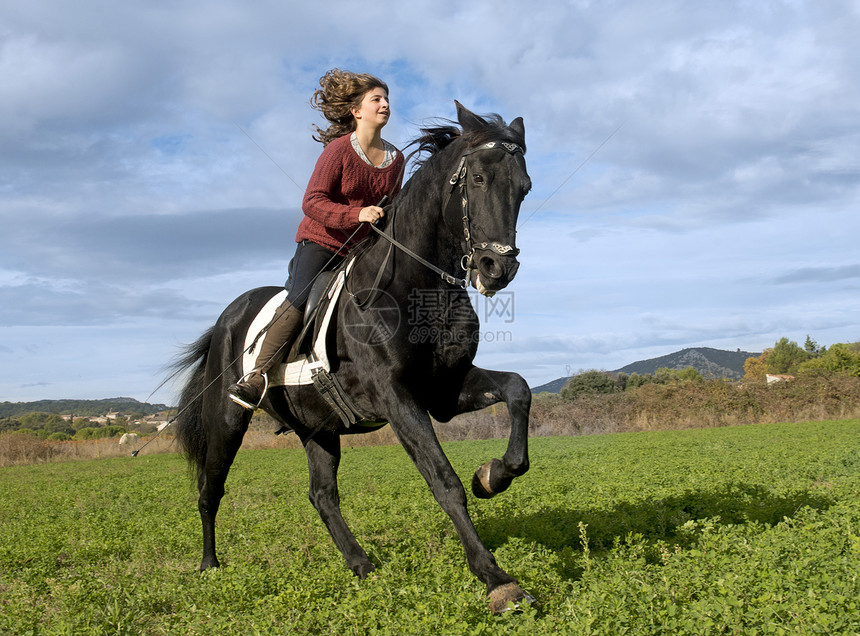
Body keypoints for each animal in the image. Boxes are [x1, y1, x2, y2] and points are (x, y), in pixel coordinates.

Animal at [172, 102, 536, 612]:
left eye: (524, 187)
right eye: (479, 179)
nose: (497, 269)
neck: (415, 288)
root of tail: (228, 315)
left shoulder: (445, 390)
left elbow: (518, 390)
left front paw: (493, 475)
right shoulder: (398, 398)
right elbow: (443, 480)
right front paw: (497, 579)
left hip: (318, 428)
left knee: (322, 495)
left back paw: (362, 565)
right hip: (226, 419)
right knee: (211, 488)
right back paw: (209, 565)